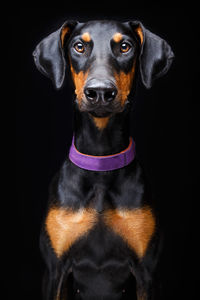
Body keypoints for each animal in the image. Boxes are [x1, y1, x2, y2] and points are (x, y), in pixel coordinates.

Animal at [32, 19, 173, 298]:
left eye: (125, 46)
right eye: (79, 46)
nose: (100, 92)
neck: (101, 160)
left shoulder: (147, 272)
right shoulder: (55, 271)